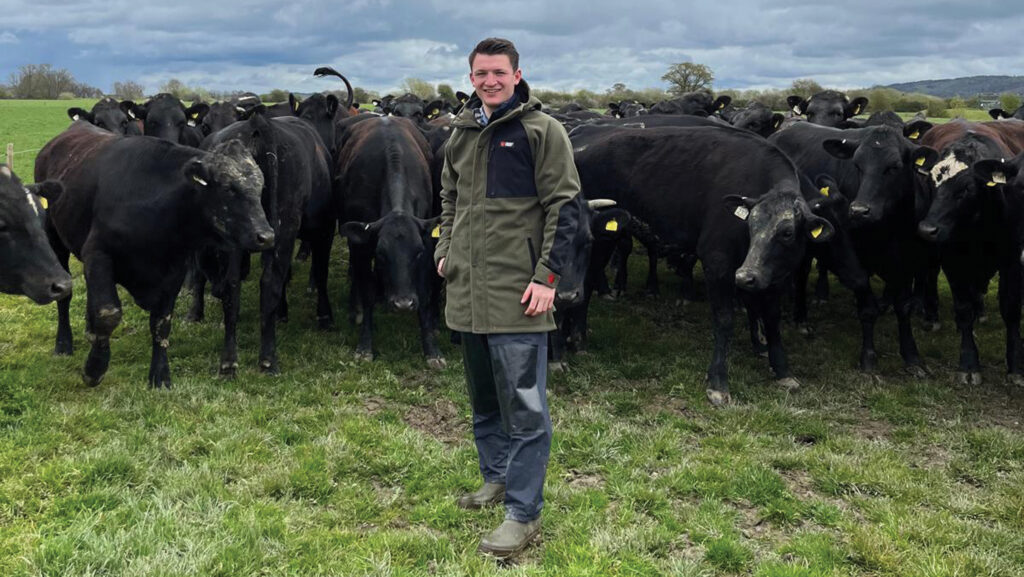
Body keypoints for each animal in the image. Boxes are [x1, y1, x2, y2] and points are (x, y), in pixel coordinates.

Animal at [38, 125, 274, 387]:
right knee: (65, 296)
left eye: (261, 188)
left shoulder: (174, 270)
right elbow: (108, 313)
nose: (265, 236)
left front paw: (160, 376)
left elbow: (161, 323)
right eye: (227, 188)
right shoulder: (98, 253)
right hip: (54, 237)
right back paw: (63, 344)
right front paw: (94, 369)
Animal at [333, 116, 442, 368]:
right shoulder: (362, 245)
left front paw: (432, 350)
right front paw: (364, 346)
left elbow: (424, 293)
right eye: (381, 253)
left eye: (418, 252)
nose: (403, 304)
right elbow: (367, 290)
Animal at [573, 125, 835, 405]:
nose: (746, 276)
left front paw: (782, 370)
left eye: (787, 233)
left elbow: (773, 319)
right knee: (585, 284)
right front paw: (718, 382)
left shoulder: (775, 275)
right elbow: (724, 320)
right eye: (750, 225)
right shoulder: (717, 262)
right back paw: (579, 341)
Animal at [917, 119, 1024, 385]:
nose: (927, 229)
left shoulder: (1013, 259)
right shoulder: (952, 259)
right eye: (931, 182)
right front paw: (968, 363)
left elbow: (1011, 309)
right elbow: (963, 308)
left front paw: (1016, 365)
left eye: (966, 189)